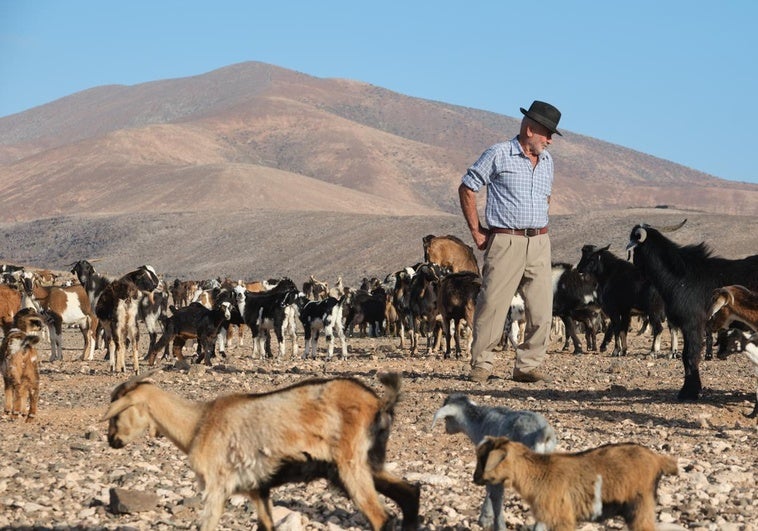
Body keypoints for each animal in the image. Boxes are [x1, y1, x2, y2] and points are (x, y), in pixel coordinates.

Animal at [103, 372, 422, 531]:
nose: (112, 440)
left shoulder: (216, 487)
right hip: (367, 464)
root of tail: (379, 402)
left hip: (351, 465)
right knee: (409, 494)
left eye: (117, 414)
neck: (198, 424)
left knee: (381, 518)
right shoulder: (258, 489)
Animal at [434, 394, 560, 531]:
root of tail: (542, 435)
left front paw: (486, 520)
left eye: (447, 419)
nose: (446, 429)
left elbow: (493, 493)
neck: (479, 422)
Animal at [478, 436, 680, 531]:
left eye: (484, 459)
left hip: (640, 505)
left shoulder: (562, 518)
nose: (475, 479)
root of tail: (657, 459)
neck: (538, 472)